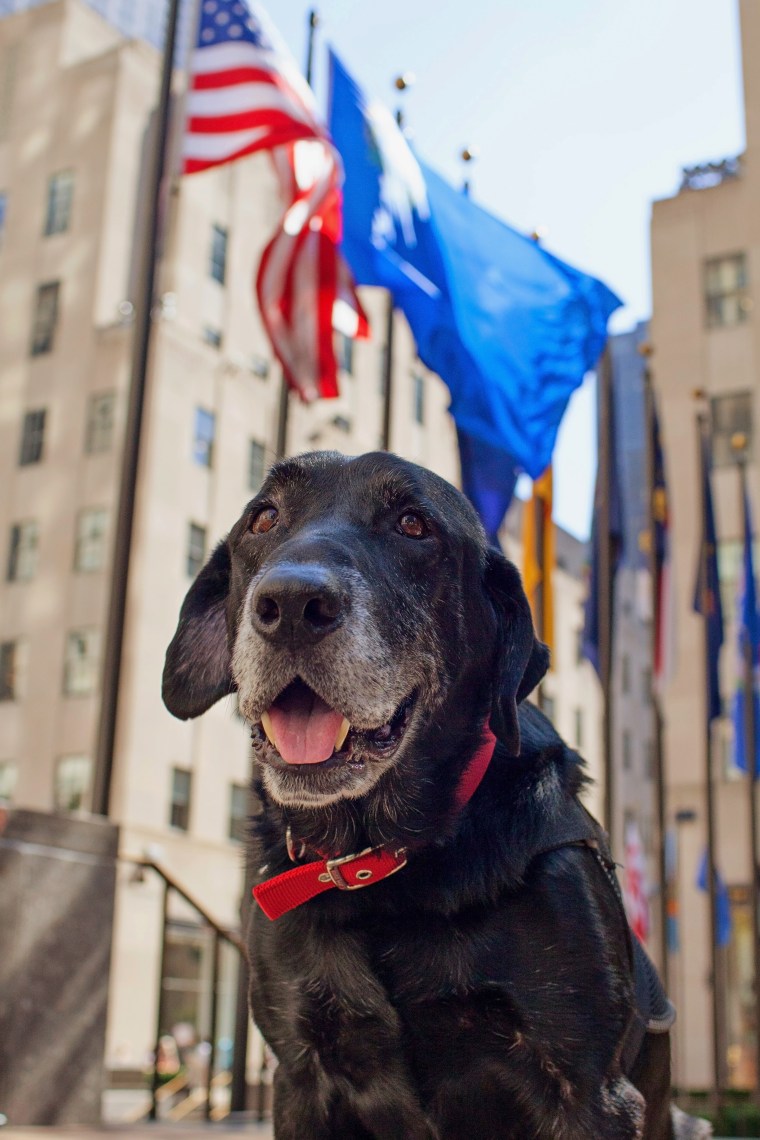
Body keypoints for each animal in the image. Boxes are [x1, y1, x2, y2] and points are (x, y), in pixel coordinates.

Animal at [164, 449, 711, 1135]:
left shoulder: (590, 1091)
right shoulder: (298, 1075)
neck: (381, 866)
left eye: (414, 525)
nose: (290, 602)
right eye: (263, 518)